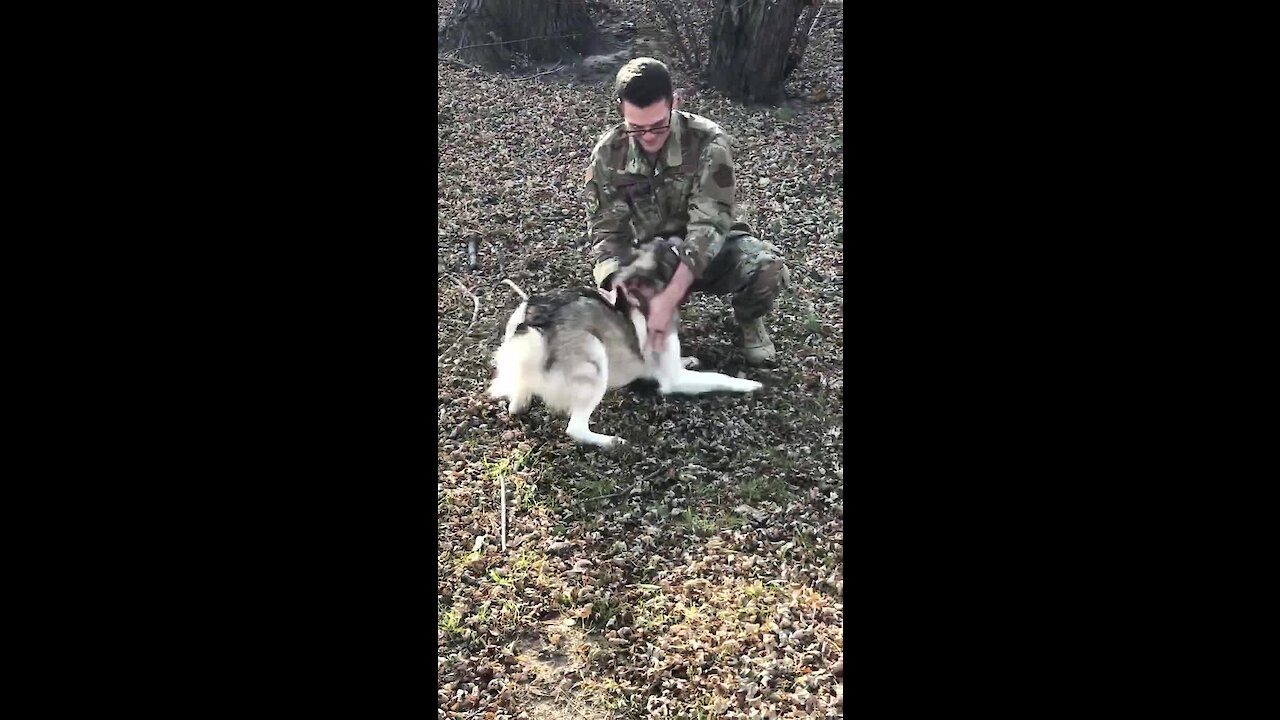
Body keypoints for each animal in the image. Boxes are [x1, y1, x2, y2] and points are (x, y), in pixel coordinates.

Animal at [491, 238, 762, 445]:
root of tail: (534, 322)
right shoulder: (673, 380)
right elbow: (720, 377)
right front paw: (749, 384)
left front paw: (690, 360)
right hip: (595, 359)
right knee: (576, 429)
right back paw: (609, 442)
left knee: (517, 403)